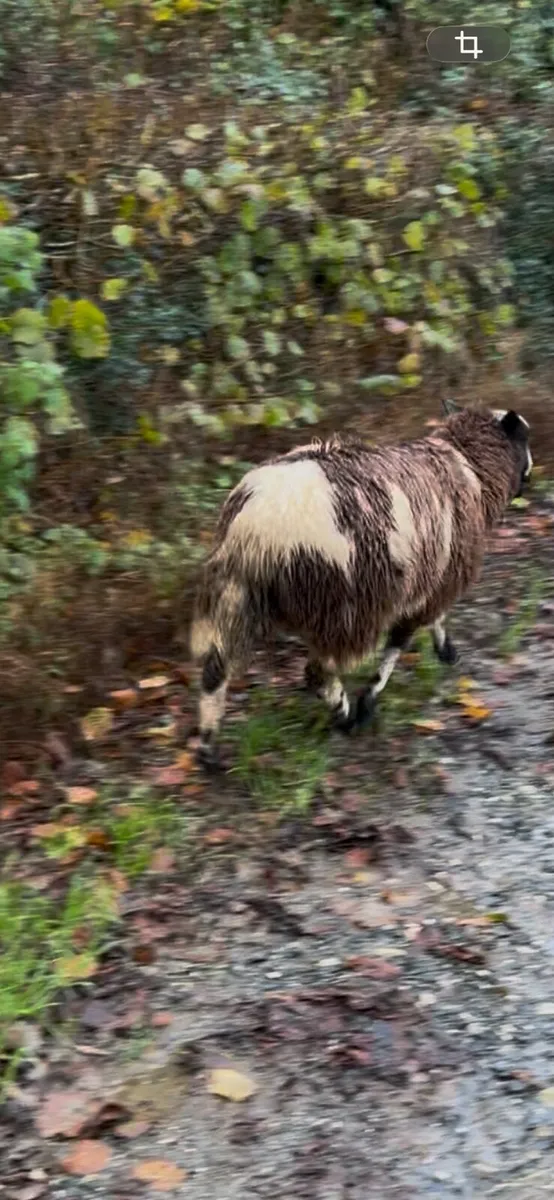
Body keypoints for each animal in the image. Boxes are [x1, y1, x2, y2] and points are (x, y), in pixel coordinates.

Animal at [190, 400, 532, 768]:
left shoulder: (432, 577)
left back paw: (208, 749)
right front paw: (369, 701)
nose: (529, 478)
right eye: (524, 438)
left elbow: (430, 621)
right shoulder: (430, 582)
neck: (470, 467)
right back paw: (344, 715)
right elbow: (402, 639)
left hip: (239, 594)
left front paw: (446, 652)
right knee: (317, 673)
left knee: (215, 669)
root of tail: (260, 522)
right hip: (344, 608)